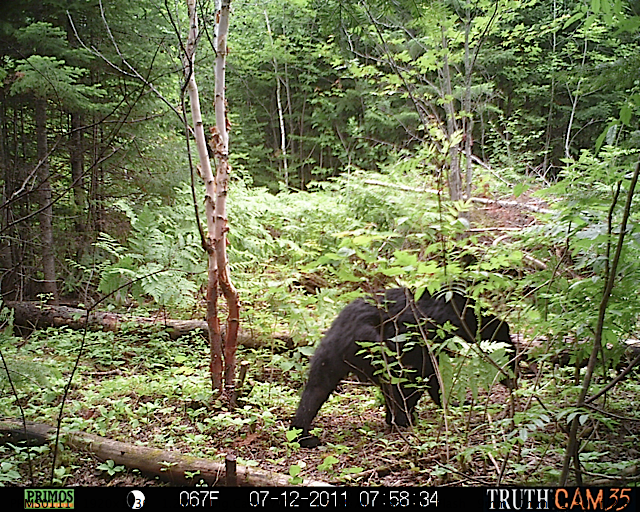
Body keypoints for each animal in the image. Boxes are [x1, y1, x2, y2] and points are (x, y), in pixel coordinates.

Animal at [290, 288, 516, 448]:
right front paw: (447, 402)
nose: (514, 379)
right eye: (510, 356)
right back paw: (402, 418)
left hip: (326, 358)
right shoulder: (427, 334)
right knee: (393, 379)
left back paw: (301, 435)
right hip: (373, 347)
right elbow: (426, 373)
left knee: (314, 393)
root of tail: (341, 339)